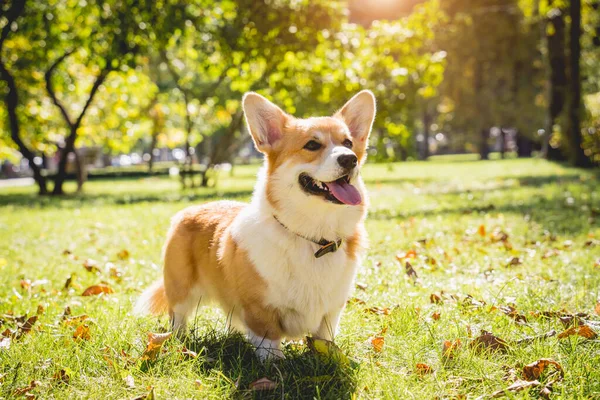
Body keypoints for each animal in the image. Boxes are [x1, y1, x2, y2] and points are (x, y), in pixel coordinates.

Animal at [137, 90, 376, 360]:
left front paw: (327, 356)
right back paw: (180, 342)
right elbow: (268, 339)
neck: (313, 237)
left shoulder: (331, 312)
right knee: (178, 318)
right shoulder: (260, 308)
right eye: (312, 145)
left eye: (348, 143)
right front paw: (274, 363)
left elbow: (324, 339)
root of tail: (191, 209)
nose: (350, 159)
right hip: (180, 290)